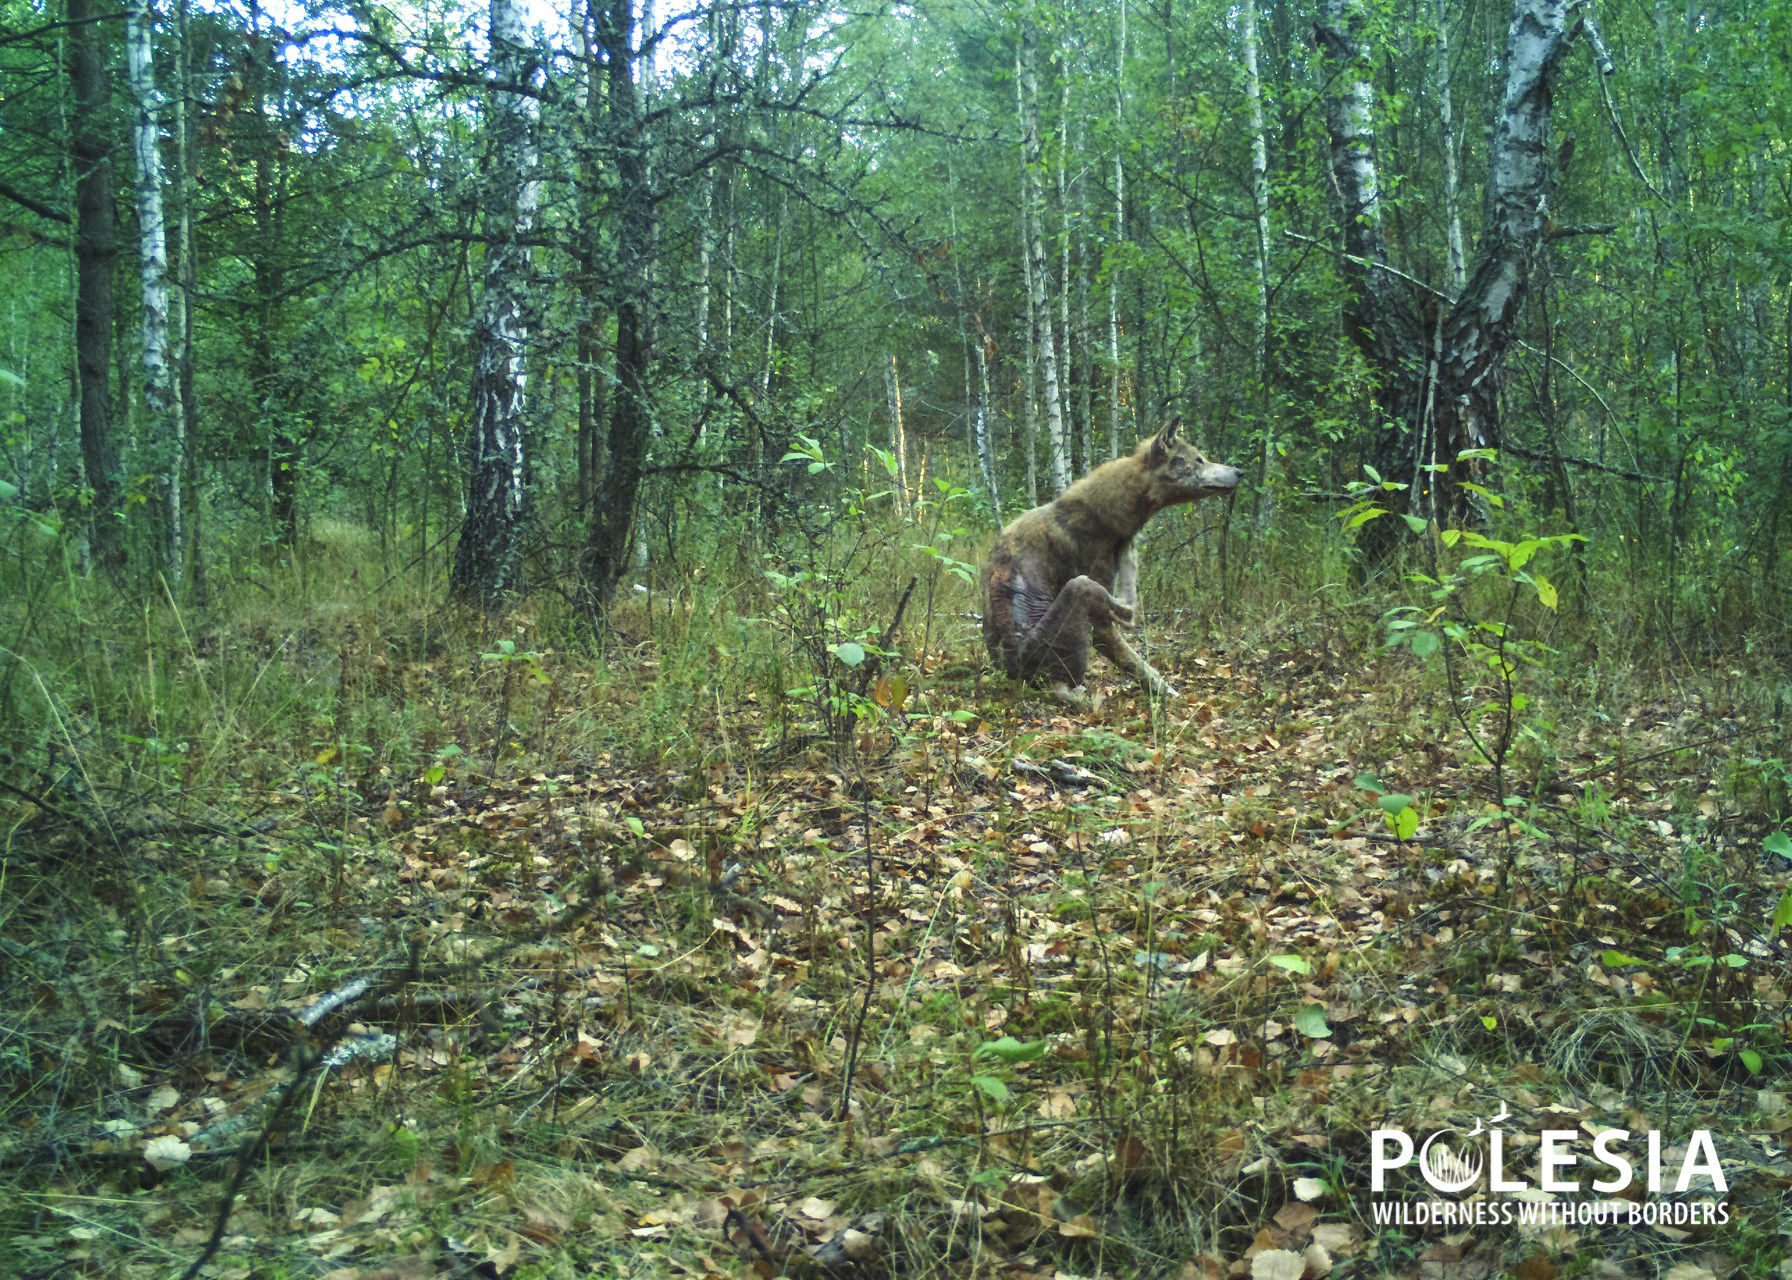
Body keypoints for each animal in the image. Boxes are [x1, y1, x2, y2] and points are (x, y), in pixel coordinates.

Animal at [982, 419, 1247, 699]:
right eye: (1199, 459)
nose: (1240, 472)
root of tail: (1017, 677)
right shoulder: (1100, 624)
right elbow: (1137, 662)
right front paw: (1169, 696)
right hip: (1079, 587)